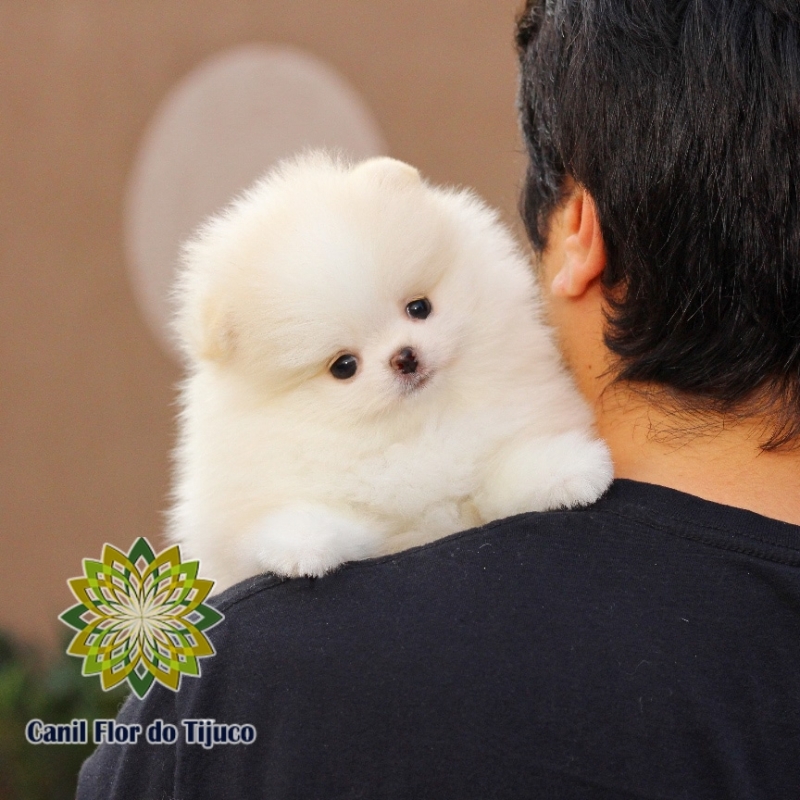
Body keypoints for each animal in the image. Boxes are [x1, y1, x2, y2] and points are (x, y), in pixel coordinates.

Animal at [166, 153, 608, 592]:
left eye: (419, 308)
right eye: (343, 367)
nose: (405, 357)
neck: (416, 427)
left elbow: (506, 470)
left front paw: (570, 471)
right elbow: (294, 520)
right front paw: (301, 546)